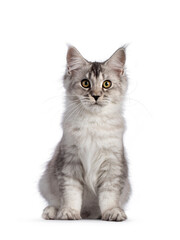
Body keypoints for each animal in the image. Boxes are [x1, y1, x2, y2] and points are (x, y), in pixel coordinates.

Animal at [38, 45, 131, 221]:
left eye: (106, 84)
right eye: (85, 83)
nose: (95, 96)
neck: (93, 122)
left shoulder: (112, 163)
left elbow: (109, 195)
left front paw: (112, 212)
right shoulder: (69, 161)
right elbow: (71, 193)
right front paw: (69, 212)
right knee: (55, 201)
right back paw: (52, 211)